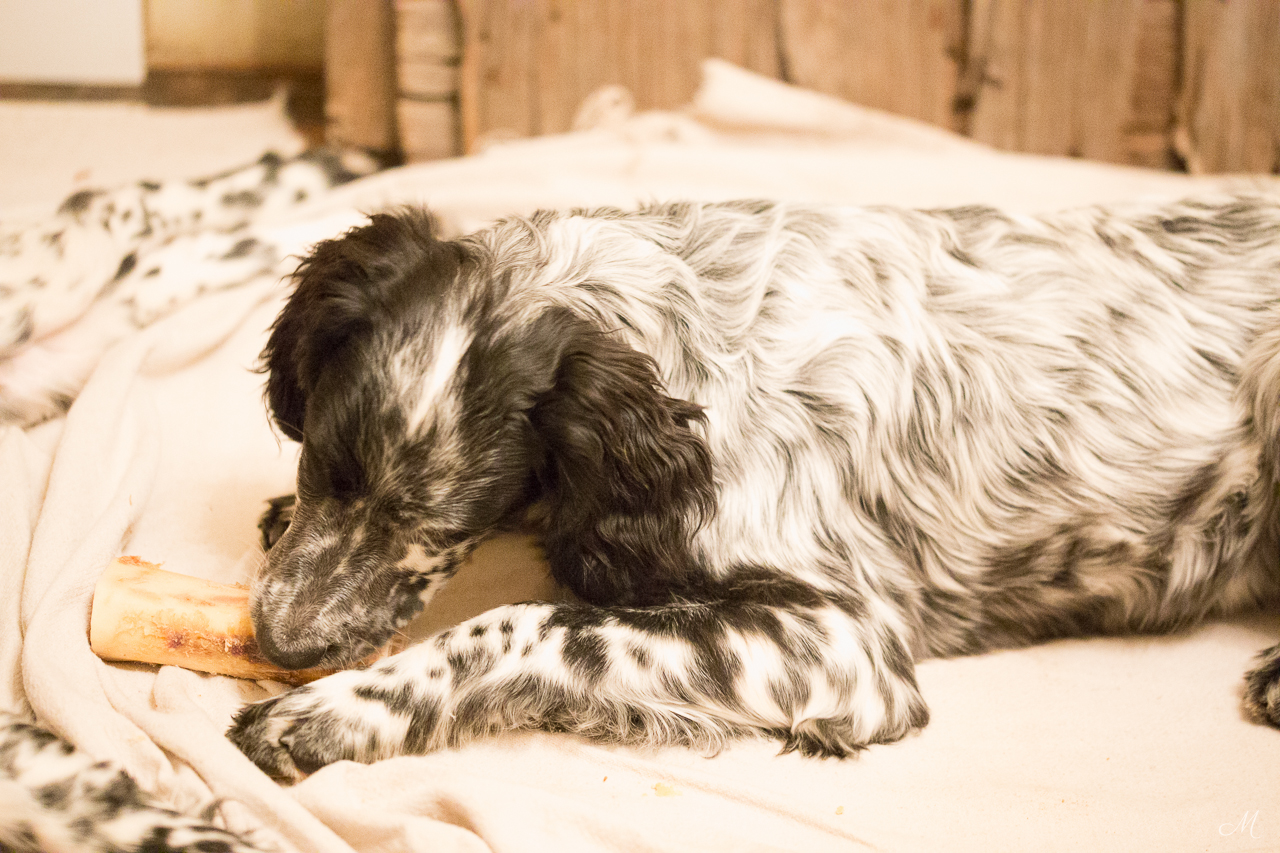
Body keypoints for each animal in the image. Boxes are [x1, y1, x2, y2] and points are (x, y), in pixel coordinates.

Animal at [227, 194, 1280, 778]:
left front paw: (332, 712)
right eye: (321, 464)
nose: (280, 641)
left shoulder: (848, 641)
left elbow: (530, 623)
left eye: (441, 522)